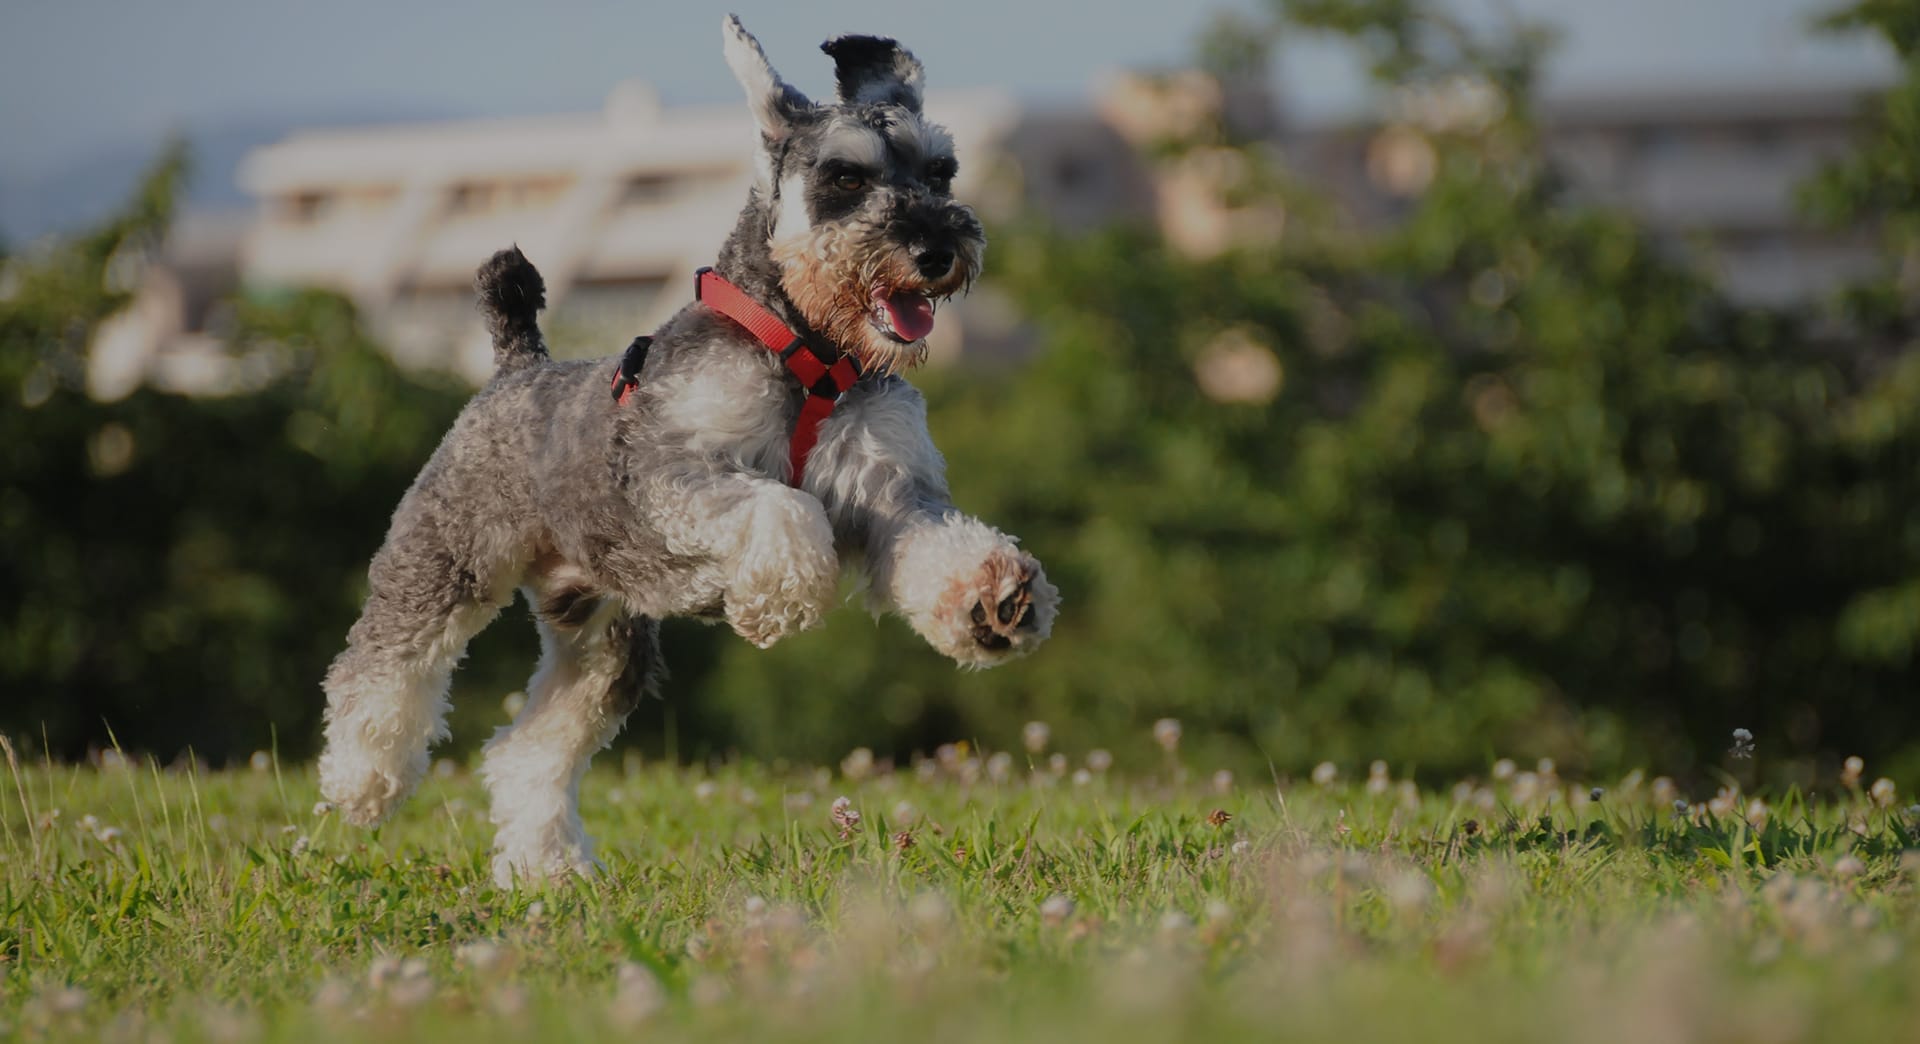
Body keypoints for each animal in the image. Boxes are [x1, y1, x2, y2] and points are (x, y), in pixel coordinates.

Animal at [320, 12, 1059, 886]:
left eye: (942, 170)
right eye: (845, 177)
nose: (937, 250)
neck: (808, 350)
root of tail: (516, 367)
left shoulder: (890, 492)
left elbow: (935, 541)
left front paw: (993, 595)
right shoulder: (672, 472)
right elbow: (784, 504)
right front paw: (781, 597)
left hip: (604, 643)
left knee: (528, 751)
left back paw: (545, 869)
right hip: (446, 560)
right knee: (380, 667)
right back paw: (362, 784)